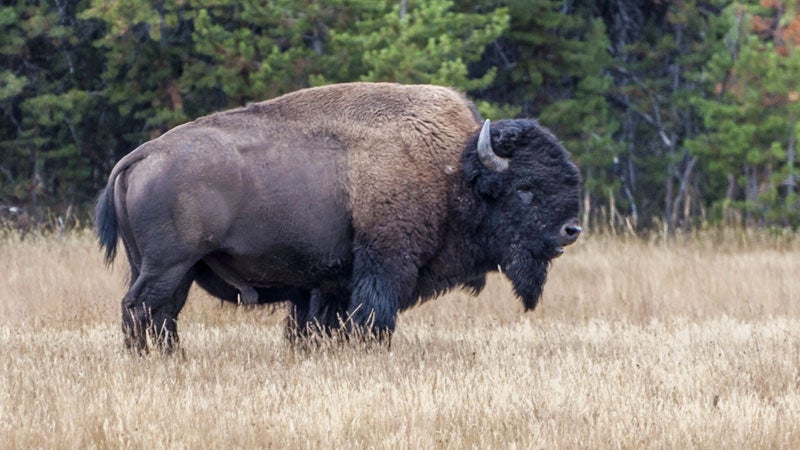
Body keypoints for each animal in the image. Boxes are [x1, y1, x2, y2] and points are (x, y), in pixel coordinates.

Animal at [95, 81, 580, 352]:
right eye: (525, 189)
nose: (571, 229)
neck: (454, 169)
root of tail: (140, 155)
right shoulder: (384, 266)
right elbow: (372, 320)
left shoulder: (330, 284)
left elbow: (323, 325)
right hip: (168, 264)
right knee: (140, 308)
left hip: (169, 267)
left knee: (163, 314)